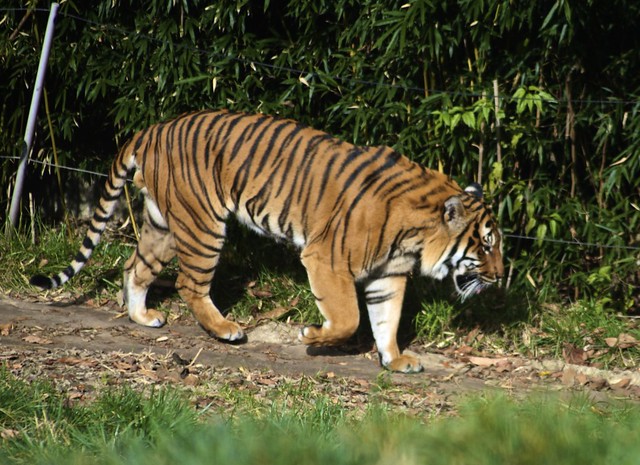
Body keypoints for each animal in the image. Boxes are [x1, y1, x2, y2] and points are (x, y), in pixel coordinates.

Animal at [31, 109, 504, 373]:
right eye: (484, 245)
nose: (501, 277)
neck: (416, 238)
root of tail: (152, 129)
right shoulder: (326, 258)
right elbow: (349, 317)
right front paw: (312, 335)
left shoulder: (389, 275)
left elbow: (386, 319)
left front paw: (396, 360)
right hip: (203, 225)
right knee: (189, 283)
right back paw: (226, 329)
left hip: (163, 225)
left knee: (135, 267)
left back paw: (143, 317)